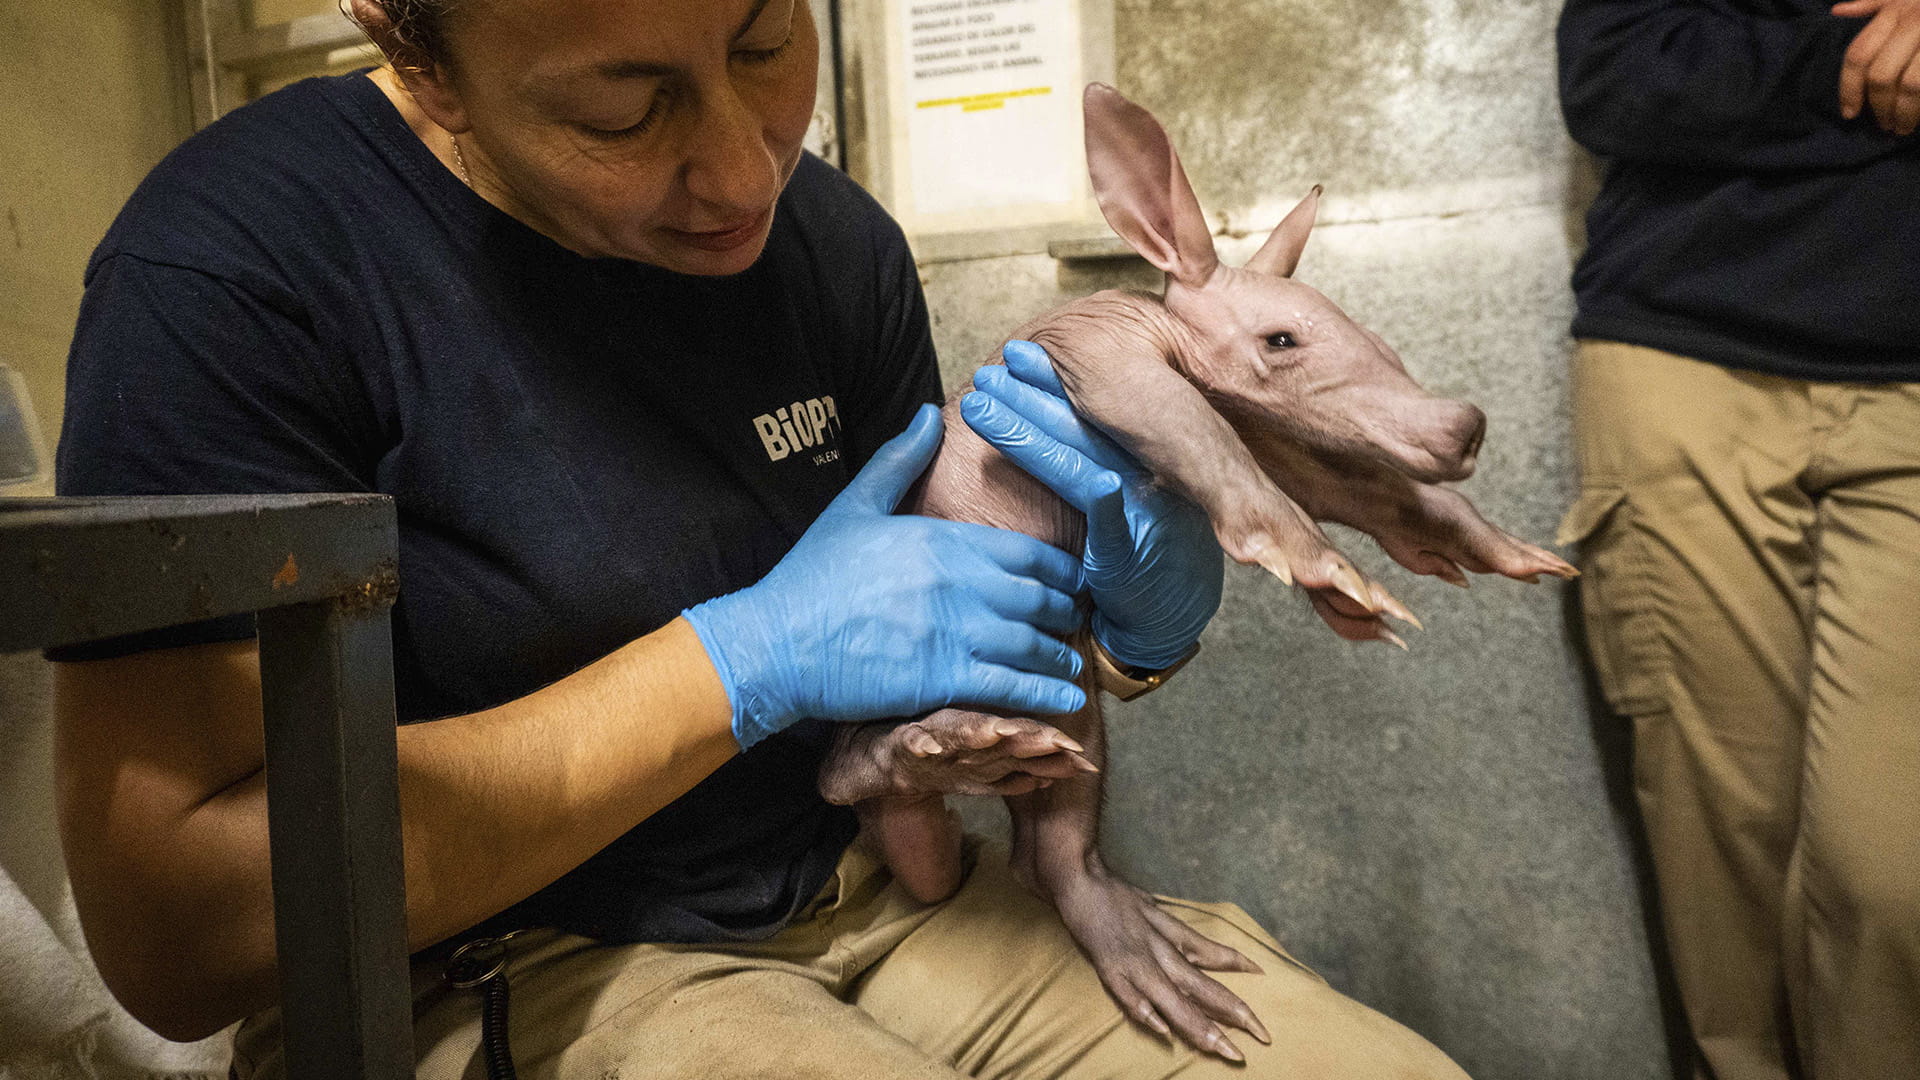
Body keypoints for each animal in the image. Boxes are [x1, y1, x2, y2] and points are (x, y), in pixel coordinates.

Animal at [814, 83, 1576, 1060]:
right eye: (1282, 339)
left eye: (1376, 335)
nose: (1462, 426)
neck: (1159, 319)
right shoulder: (1098, 354)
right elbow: (1200, 439)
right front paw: (1341, 579)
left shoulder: (1276, 433)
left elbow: (1360, 487)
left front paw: (1500, 552)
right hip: (892, 689)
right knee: (846, 771)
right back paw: (929, 748)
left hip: (1063, 696)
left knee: (1051, 843)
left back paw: (1137, 940)